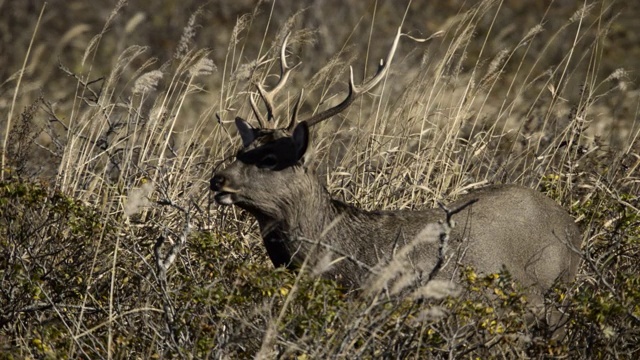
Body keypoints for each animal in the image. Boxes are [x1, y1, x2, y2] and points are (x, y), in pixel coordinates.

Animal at [212, 29, 584, 308]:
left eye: (270, 159)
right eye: (240, 150)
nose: (218, 179)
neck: (347, 259)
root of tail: (570, 224)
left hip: (544, 288)